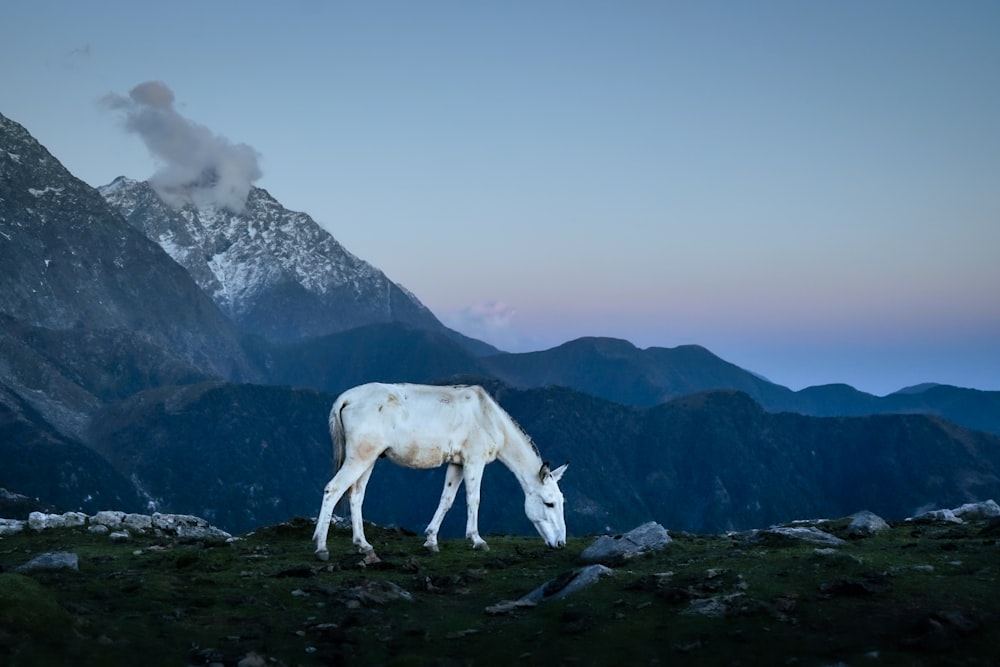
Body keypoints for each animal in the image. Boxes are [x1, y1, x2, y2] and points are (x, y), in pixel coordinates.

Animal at [312, 380, 568, 560]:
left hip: (370, 458)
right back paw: (321, 547)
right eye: (549, 503)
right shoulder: (474, 460)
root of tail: (345, 398)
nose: (561, 544)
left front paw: (431, 541)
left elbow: (446, 499)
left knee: (356, 495)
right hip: (360, 456)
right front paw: (477, 540)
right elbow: (473, 499)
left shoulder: (457, 463)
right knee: (333, 489)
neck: (488, 417)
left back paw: (363, 545)